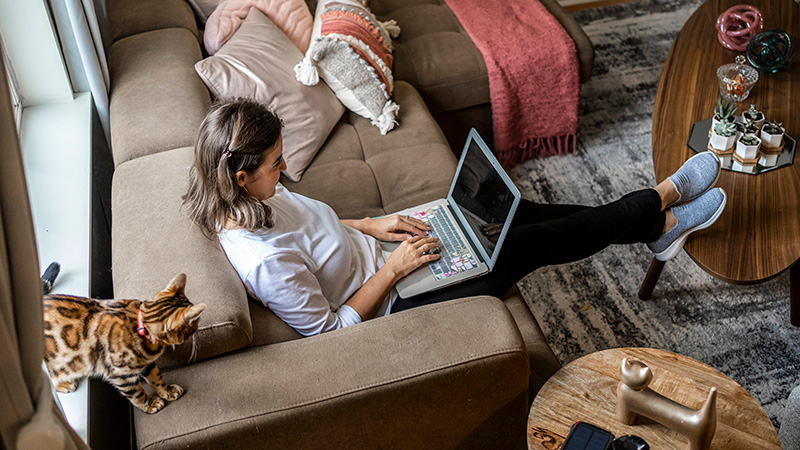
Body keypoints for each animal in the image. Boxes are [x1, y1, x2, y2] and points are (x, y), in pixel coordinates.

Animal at [42, 272, 206, 414]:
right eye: (196, 324)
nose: (198, 329)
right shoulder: (121, 375)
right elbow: (137, 394)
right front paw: (150, 404)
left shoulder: (147, 363)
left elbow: (156, 378)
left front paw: (166, 391)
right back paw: (64, 384)